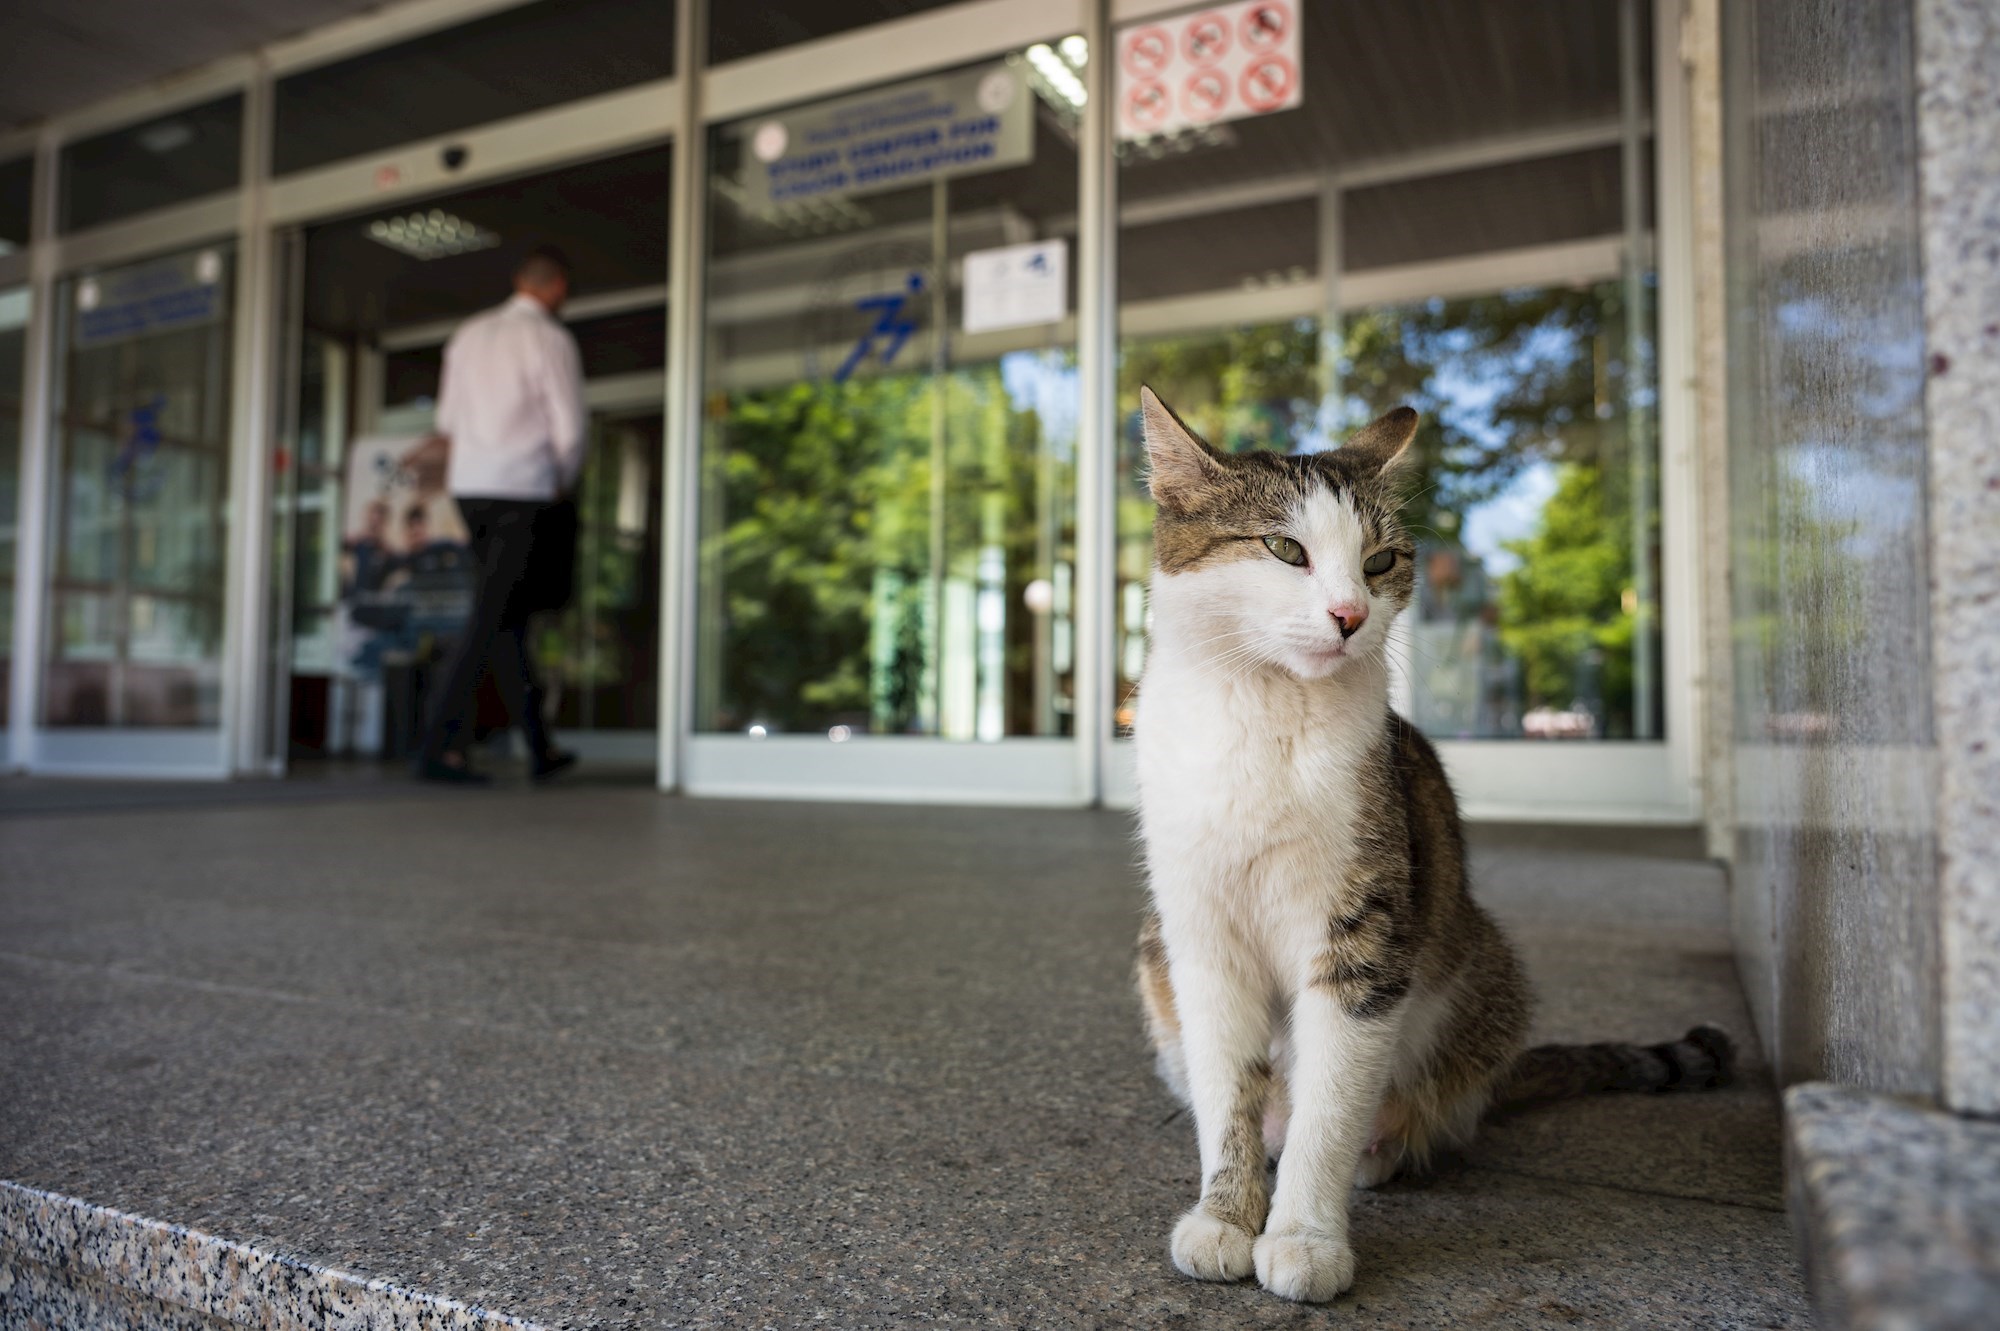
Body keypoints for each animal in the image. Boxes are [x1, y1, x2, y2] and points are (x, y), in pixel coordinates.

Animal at [1136, 383, 1728, 1295]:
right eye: (1284, 548)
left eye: (1380, 562)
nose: (1350, 615)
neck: (1265, 713)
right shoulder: (1200, 935)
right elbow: (1228, 1089)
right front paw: (1225, 1215)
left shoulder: (1367, 933)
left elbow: (1330, 1102)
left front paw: (1305, 1235)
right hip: (1151, 955)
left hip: (1480, 966)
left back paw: (1379, 1150)